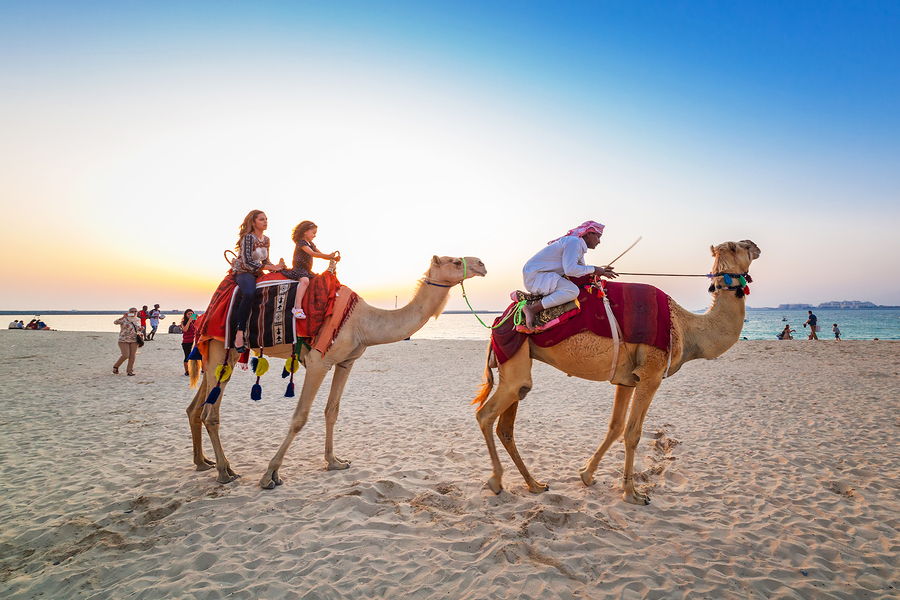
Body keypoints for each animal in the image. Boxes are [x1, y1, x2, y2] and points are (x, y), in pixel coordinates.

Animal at [185, 254, 488, 488]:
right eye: (454, 260)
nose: (481, 264)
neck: (364, 322)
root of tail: (205, 313)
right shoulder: (319, 361)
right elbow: (300, 417)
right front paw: (270, 474)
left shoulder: (346, 362)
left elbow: (332, 410)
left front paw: (335, 461)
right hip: (221, 349)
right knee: (211, 413)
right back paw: (225, 472)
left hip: (219, 354)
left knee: (196, 408)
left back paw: (204, 463)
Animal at [472, 239, 760, 506]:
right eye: (738, 247)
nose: (755, 246)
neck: (685, 327)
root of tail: (499, 319)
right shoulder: (651, 374)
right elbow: (633, 433)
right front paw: (633, 494)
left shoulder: (628, 379)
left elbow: (615, 426)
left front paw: (587, 474)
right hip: (515, 361)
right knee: (485, 414)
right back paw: (496, 481)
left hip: (518, 364)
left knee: (507, 424)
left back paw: (534, 484)